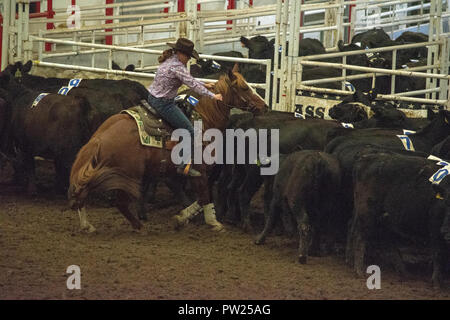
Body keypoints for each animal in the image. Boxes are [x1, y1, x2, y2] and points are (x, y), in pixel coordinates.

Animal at [67, 69, 268, 232]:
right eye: (244, 88)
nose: (265, 106)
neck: (203, 118)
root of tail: (99, 139)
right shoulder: (200, 169)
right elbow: (204, 197)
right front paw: (211, 222)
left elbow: (200, 197)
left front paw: (183, 217)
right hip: (128, 174)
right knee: (120, 202)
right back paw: (138, 226)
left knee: (82, 191)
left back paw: (87, 225)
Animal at [348, 151, 450, 288]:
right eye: (446, 203)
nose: (446, 231)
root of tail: (367, 157)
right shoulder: (434, 225)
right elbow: (439, 253)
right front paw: (437, 283)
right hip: (367, 212)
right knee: (360, 236)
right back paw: (359, 270)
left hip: (382, 217)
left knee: (386, 239)